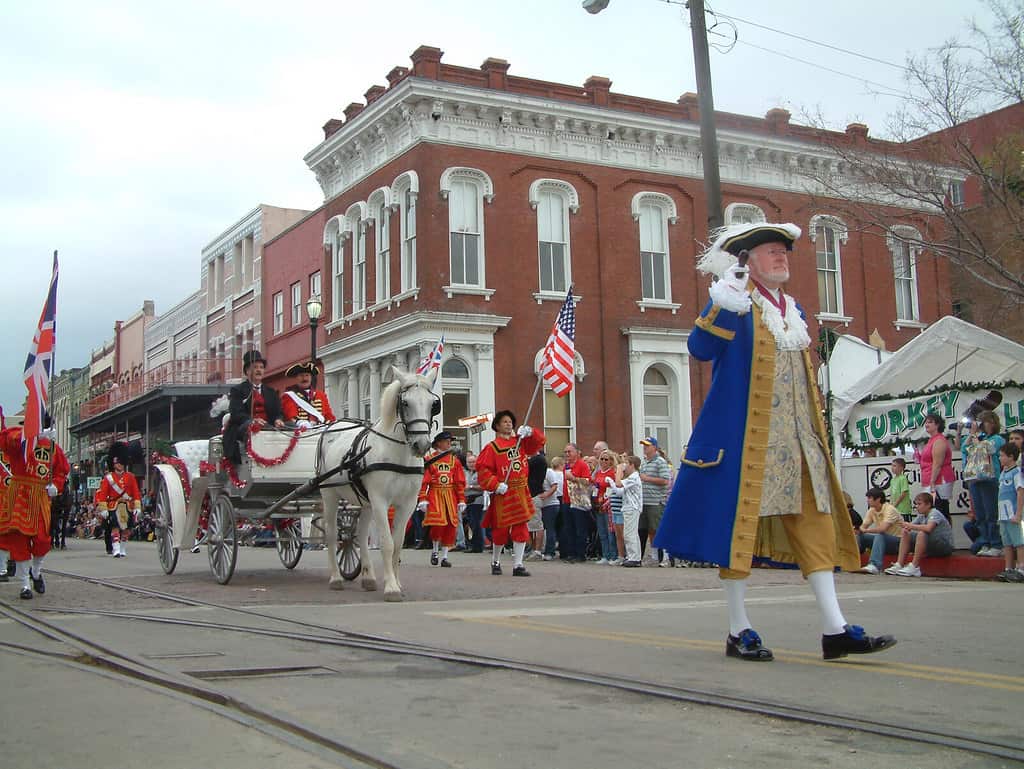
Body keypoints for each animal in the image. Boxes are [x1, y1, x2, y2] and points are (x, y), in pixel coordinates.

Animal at [315, 366, 436, 602]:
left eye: (432, 404)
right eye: (405, 403)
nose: (422, 445)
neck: (398, 454)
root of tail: (334, 426)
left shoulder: (407, 504)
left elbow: (397, 544)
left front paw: (396, 582)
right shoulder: (380, 501)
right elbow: (387, 543)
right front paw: (391, 588)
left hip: (365, 502)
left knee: (361, 535)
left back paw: (368, 577)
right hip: (330, 496)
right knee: (332, 534)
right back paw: (336, 578)